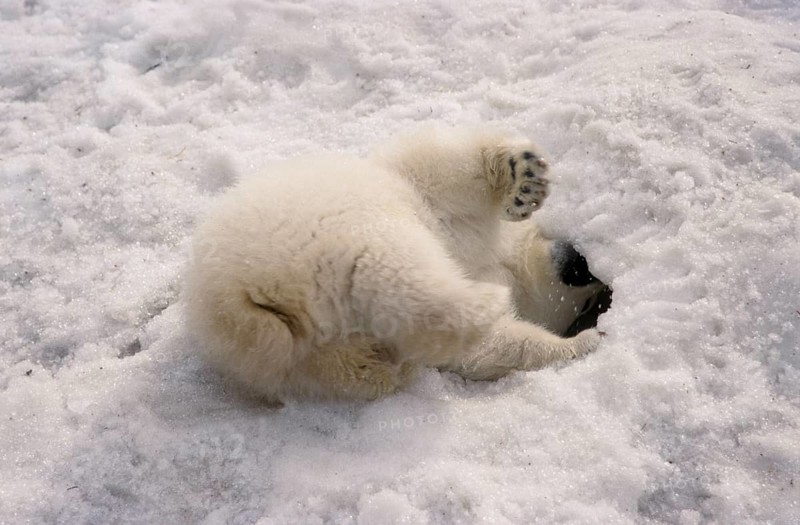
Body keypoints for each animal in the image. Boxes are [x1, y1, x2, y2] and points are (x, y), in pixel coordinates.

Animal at [184, 126, 608, 403]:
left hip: (298, 357)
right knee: (398, 269)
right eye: (587, 300)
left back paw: (384, 366)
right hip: (335, 233)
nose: (580, 265)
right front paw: (525, 179)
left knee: (344, 364)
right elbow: (440, 167)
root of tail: (242, 297)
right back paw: (479, 303)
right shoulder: (420, 190)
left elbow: (488, 349)